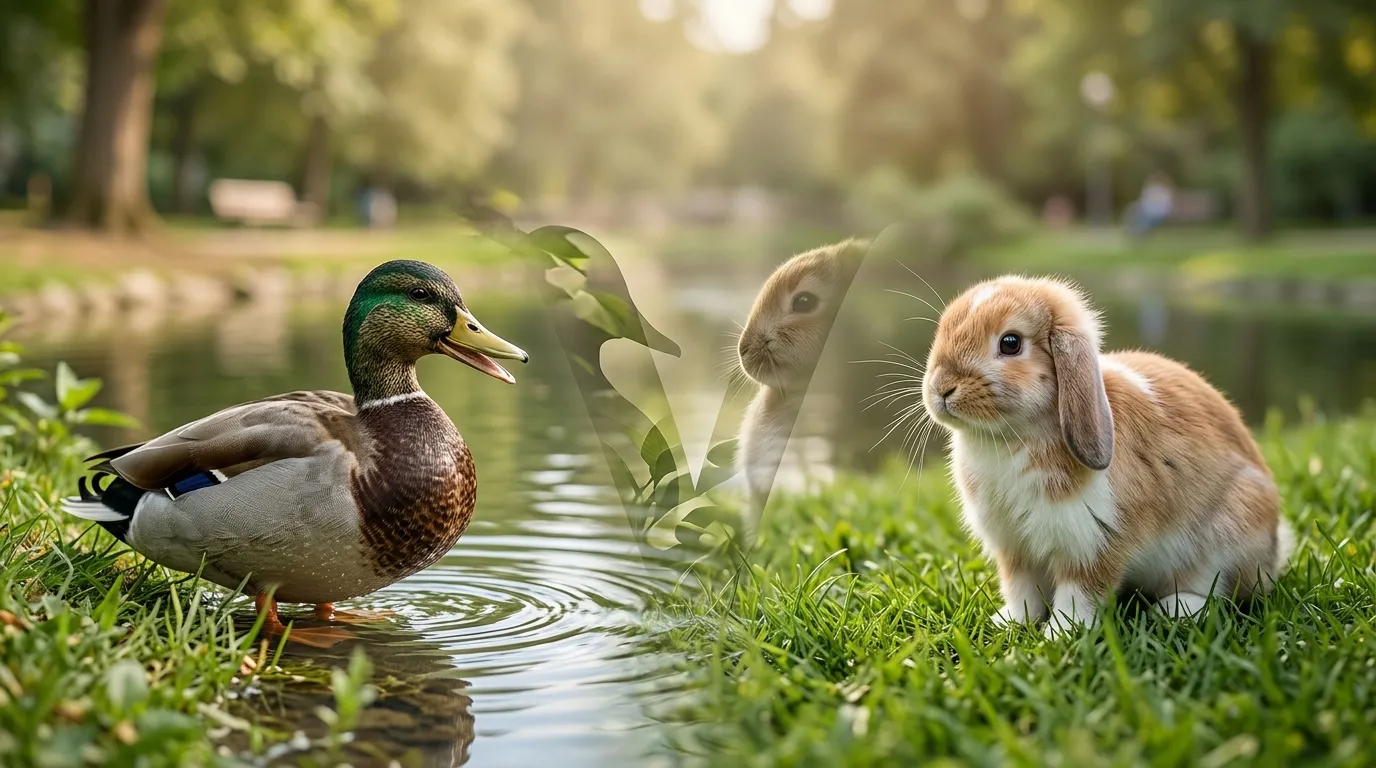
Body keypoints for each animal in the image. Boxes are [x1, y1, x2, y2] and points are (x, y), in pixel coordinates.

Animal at [920, 275, 1293, 636]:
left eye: (1010, 343)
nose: (942, 388)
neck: (1012, 438)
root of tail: (1274, 549)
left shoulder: (1092, 544)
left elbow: (1078, 595)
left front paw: (1061, 635)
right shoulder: (1015, 550)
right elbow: (1021, 590)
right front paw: (1011, 622)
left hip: (1228, 536)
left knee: (1219, 591)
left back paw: (1174, 609)